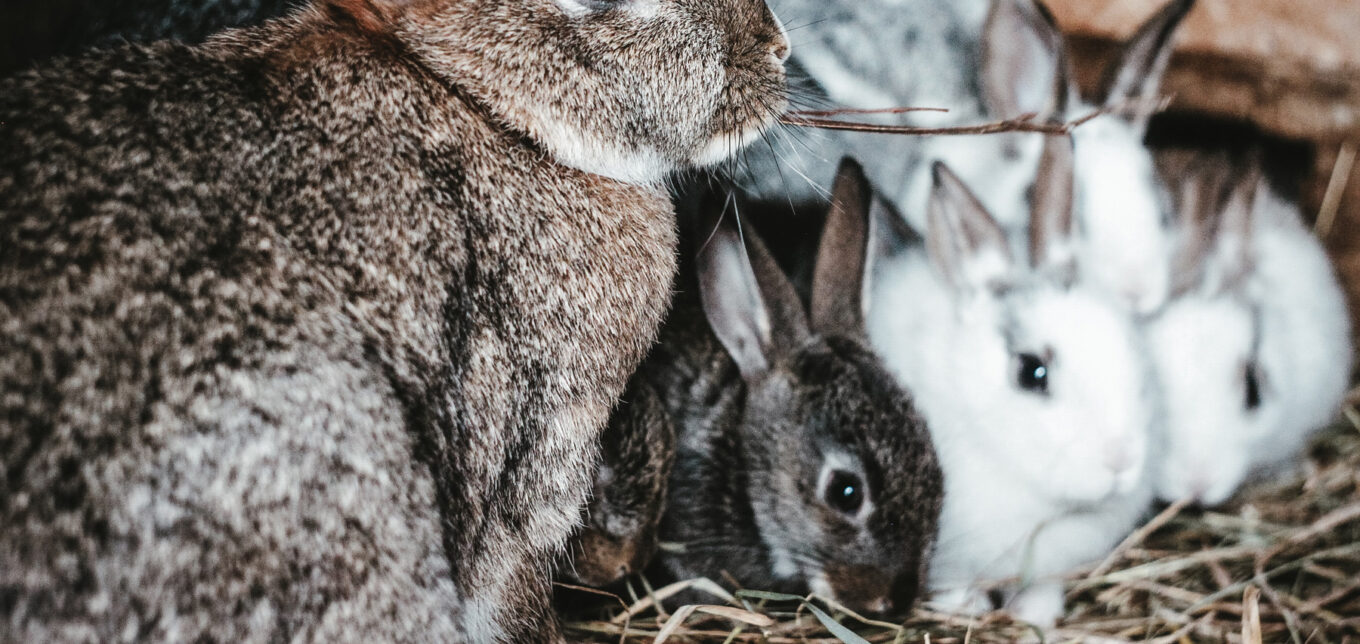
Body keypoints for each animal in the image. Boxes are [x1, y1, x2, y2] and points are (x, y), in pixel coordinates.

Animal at [866, 138, 1157, 627]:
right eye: (1031, 372)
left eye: (1134, 346)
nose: (1121, 460)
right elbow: (951, 586)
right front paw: (966, 609)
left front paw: (1034, 616)